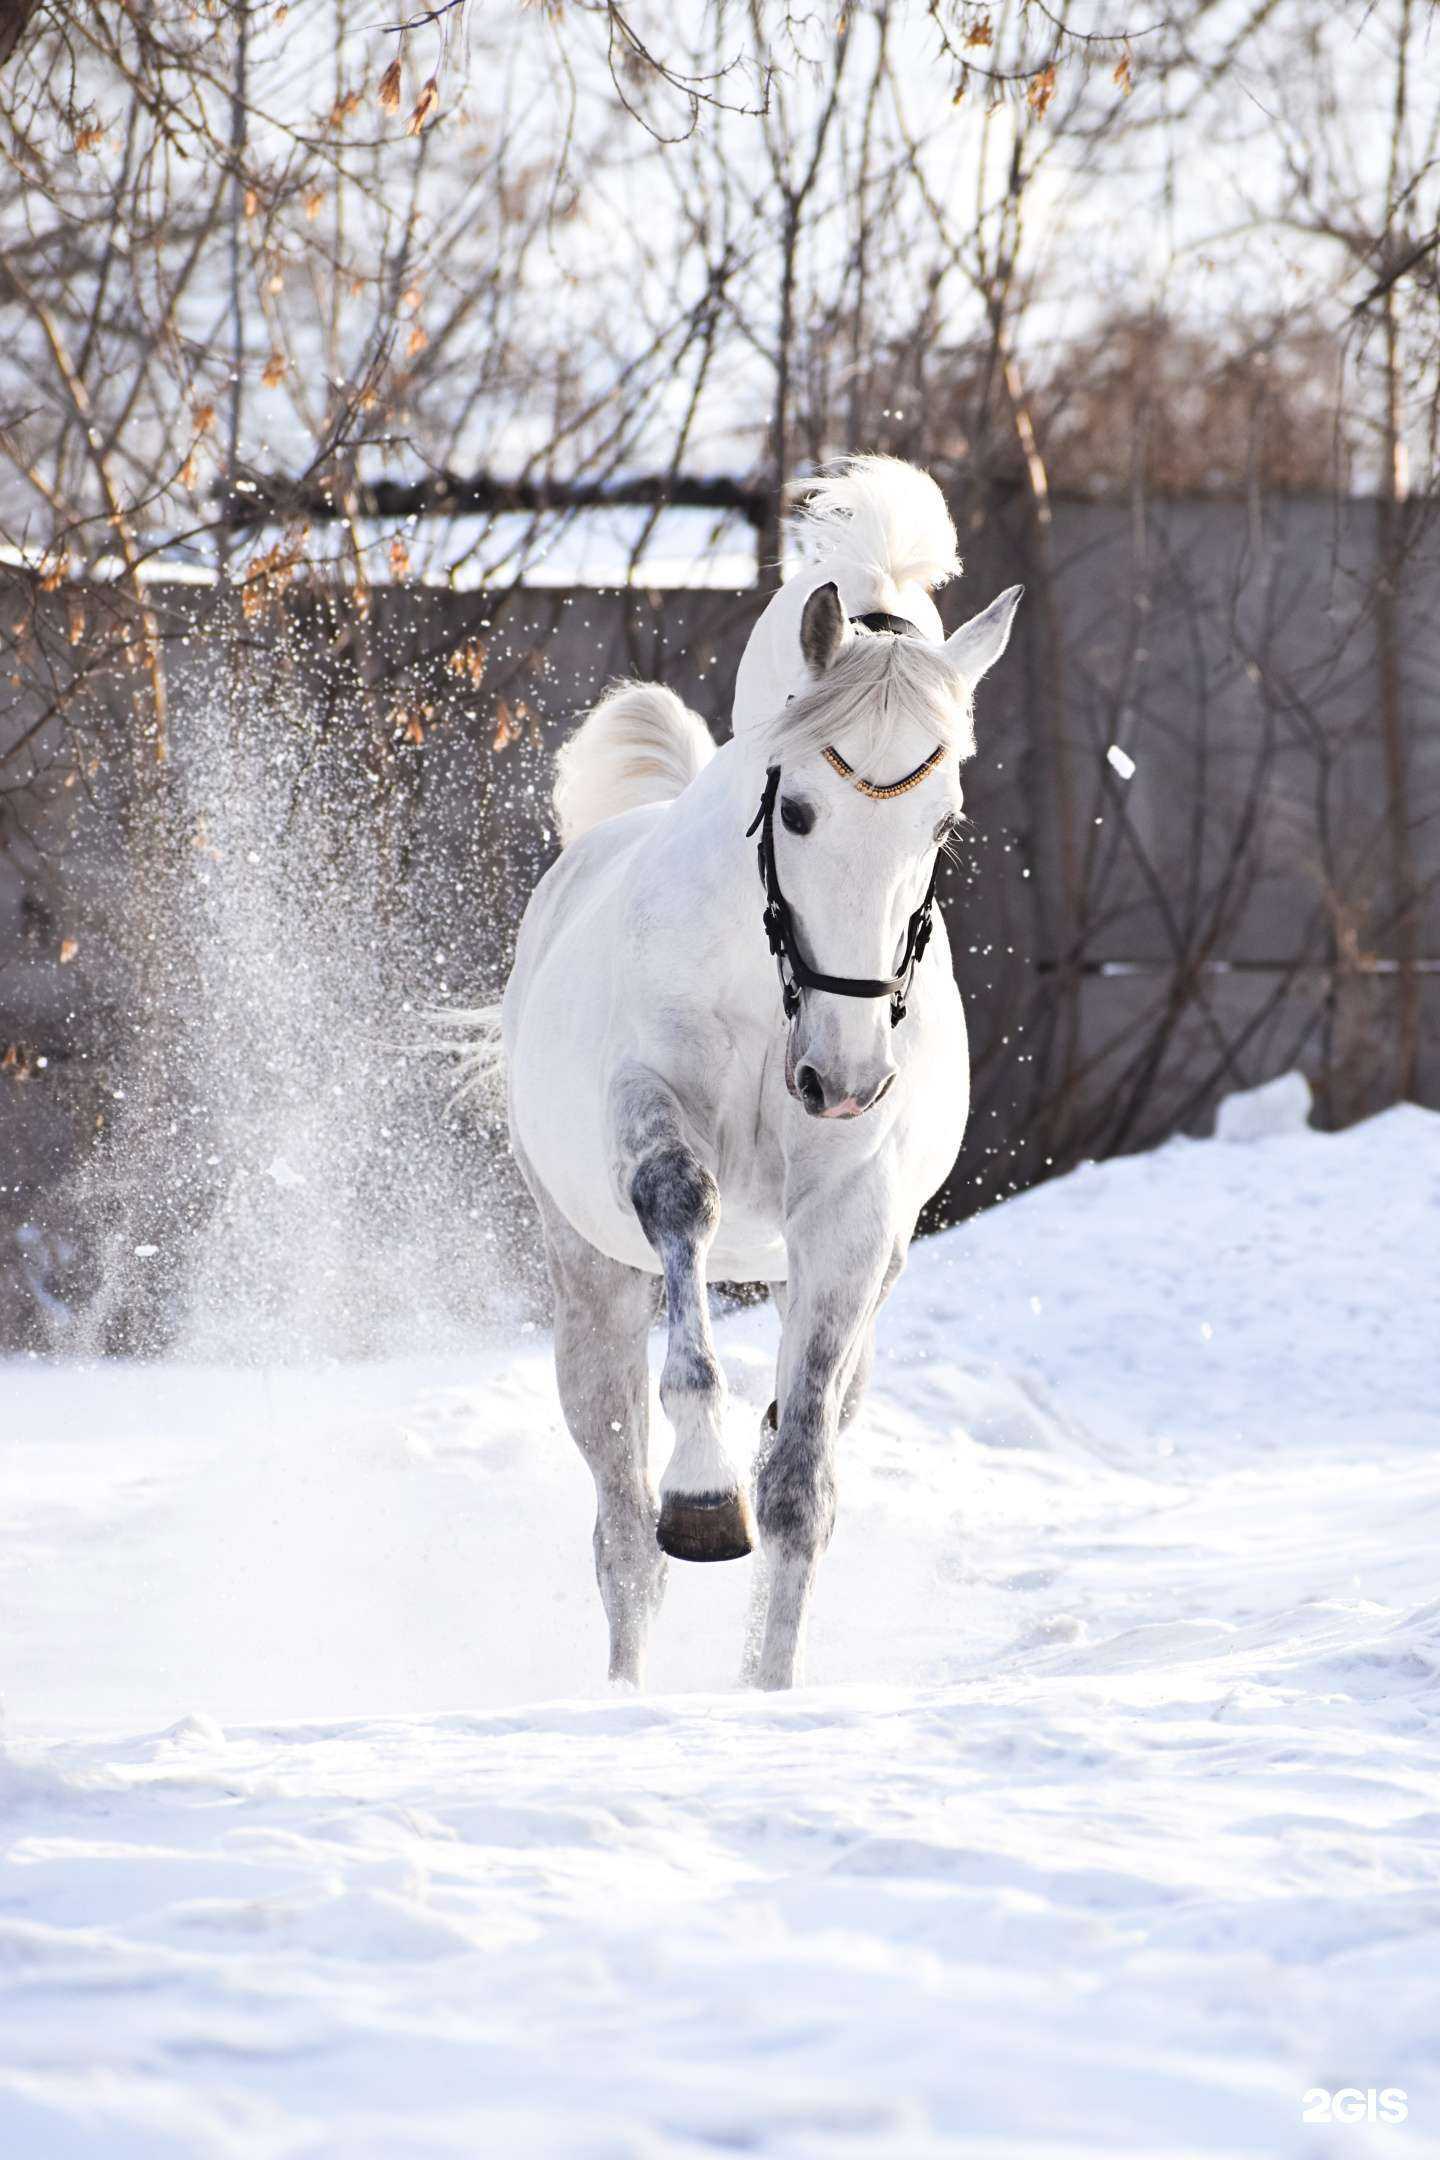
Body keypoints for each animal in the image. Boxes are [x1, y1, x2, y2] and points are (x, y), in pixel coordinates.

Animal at [477, 457, 1021, 1690]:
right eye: (801, 808)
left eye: (944, 824)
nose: (845, 1077)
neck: (769, 988)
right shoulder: (653, 1138)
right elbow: (687, 1253)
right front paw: (702, 1496)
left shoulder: (852, 1222)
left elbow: (800, 1483)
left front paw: (770, 1693)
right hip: (584, 1272)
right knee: (621, 1528)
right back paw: (625, 1690)